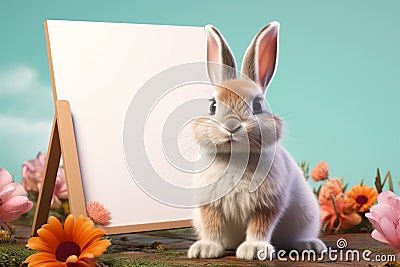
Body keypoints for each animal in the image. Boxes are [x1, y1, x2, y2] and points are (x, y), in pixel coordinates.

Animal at [188, 22, 324, 260]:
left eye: (258, 105)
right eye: (212, 106)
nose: (231, 127)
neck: (237, 159)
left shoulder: (268, 204)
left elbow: (259, 227)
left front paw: (253, 250)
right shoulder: (209, 205)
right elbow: (212, 226)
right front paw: (205, 249)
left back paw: (310, 245)